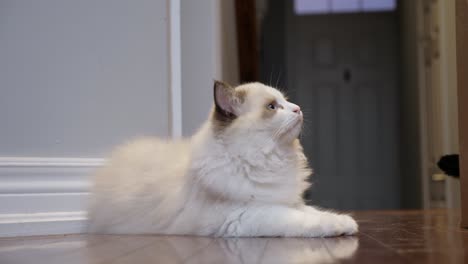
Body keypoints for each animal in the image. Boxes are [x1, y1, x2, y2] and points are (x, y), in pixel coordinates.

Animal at [88, 81, 358, 237]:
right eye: (272, 107)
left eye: (286, 102)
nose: (298, 108)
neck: (269, 159)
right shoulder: (250, 214)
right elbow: (302, 221)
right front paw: (340, 227)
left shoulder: (286, 201)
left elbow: (314, 212)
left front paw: (345, 222)